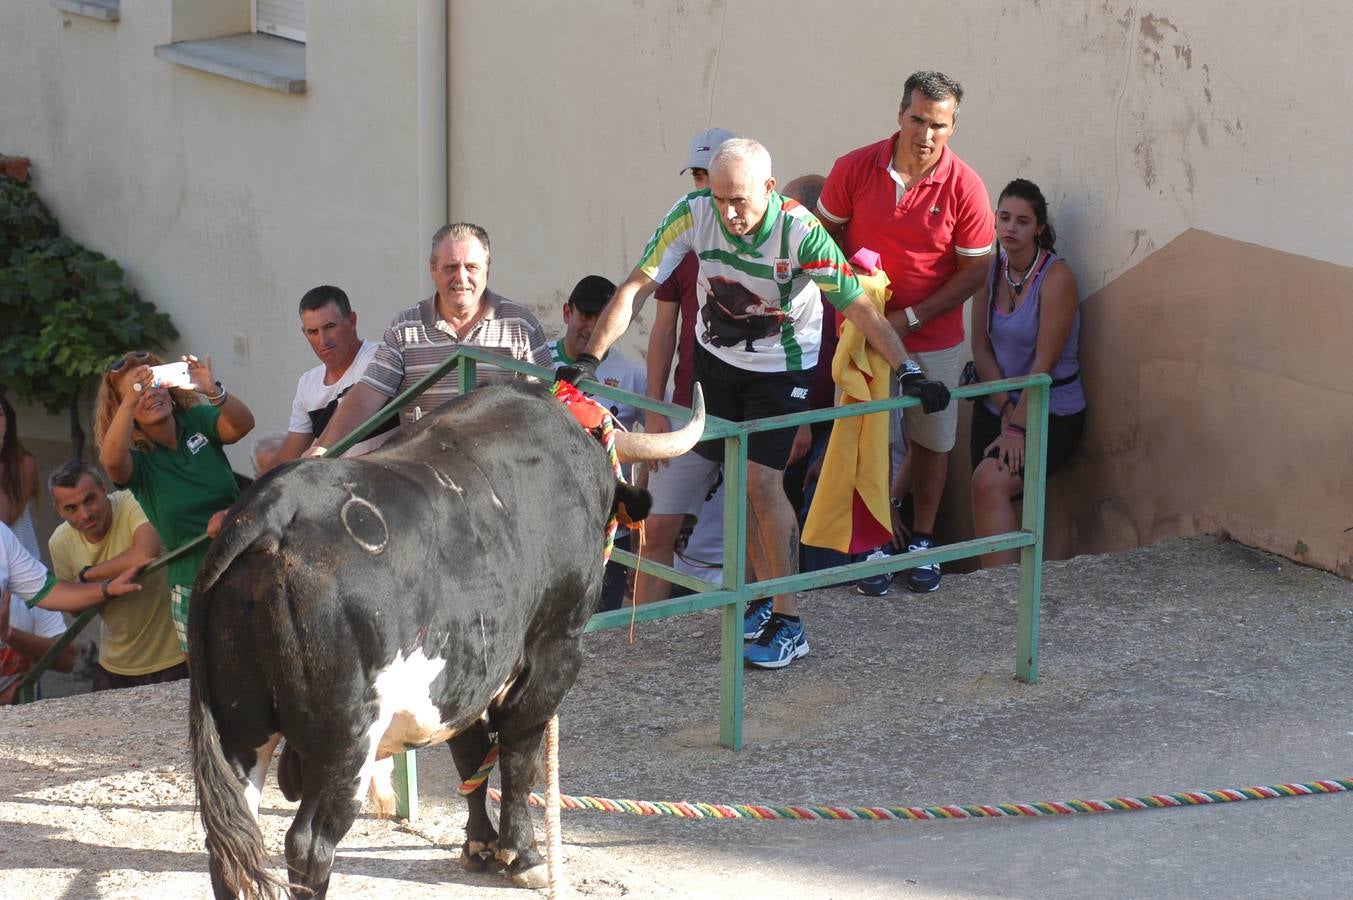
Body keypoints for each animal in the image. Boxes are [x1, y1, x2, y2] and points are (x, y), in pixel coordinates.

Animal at [188, 381, 708, 893]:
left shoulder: (467, 672)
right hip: (345, 741)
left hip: (240, 729)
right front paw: (524, 856)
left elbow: (471, 755)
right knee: (309, 845)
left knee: (232, 844)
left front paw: (479, 846)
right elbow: (519, 760)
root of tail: (273, 510)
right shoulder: (553, 649)